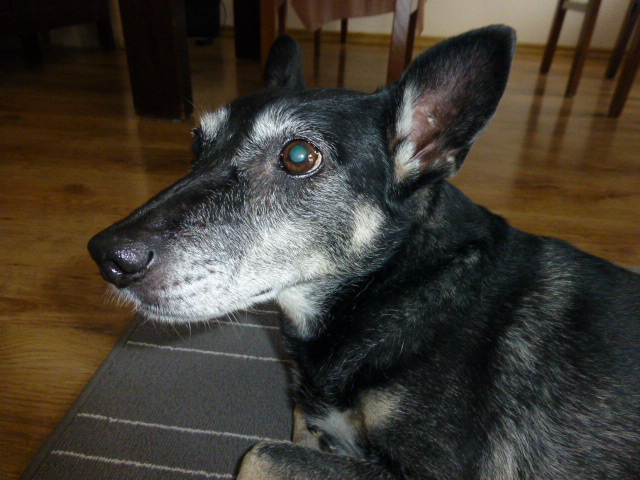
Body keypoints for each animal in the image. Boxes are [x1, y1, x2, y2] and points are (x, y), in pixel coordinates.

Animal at [88, 26, 640, 479]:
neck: (392, 284)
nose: (107, 257)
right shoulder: (312, 417)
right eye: (196, 143)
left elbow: (259, 454)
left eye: (298, 155)